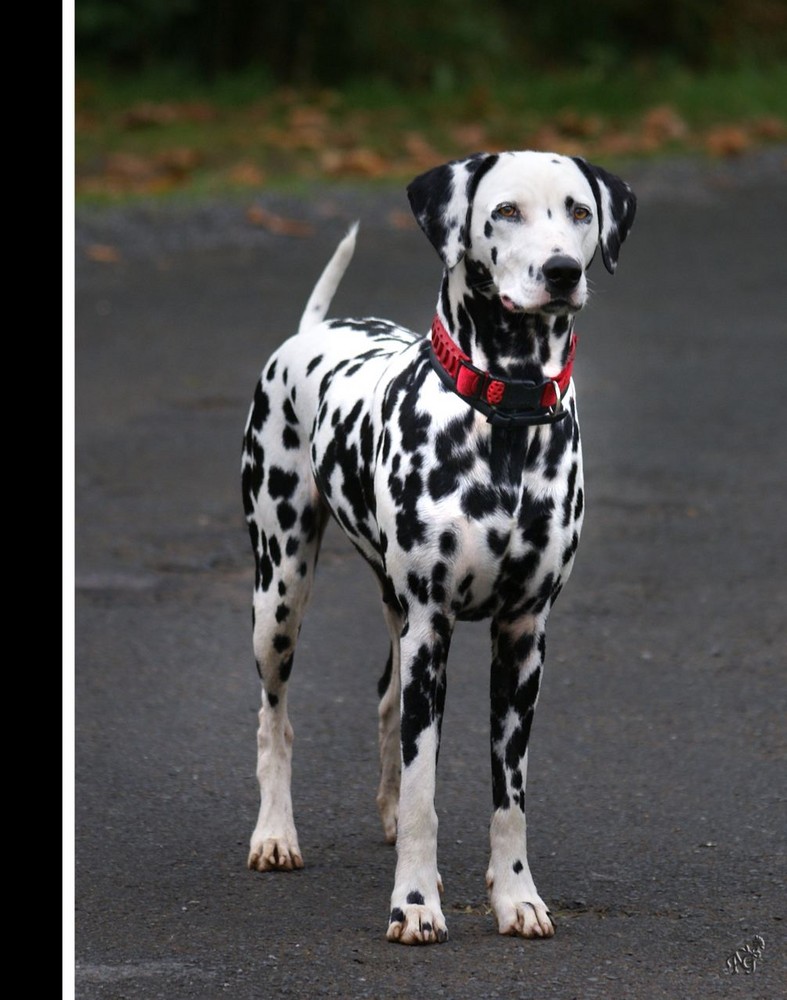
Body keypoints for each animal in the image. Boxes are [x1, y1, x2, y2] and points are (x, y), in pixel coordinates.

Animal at [243, 150, 636, 944]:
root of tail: (311, 332)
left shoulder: (522, 640)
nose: (560, 272)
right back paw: (274, 834)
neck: (505, 419)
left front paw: (516, 897)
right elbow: (428, 789)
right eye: (506, 210)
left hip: (398, 619)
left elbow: (509, 796)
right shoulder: (433, 627)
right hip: (279, 596)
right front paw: (416, 902)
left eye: (579, 211)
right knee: (276, 720)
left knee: (388, 702)